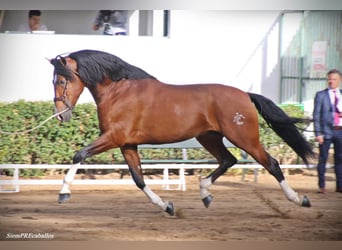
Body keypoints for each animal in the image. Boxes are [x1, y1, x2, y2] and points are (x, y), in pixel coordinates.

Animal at [49, 49, 314, 215]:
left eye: (61, 81)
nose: (61, 115)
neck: (119, 91)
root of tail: (245, 95)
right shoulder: (127, 144)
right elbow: (139, 179)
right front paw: (166, 206)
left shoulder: (113, 138)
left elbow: (79, 155)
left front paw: (63, 193)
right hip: (208, 137)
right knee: (228, 160)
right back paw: (205, 193)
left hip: (244, 138)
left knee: (272, 163)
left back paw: (300, 199)